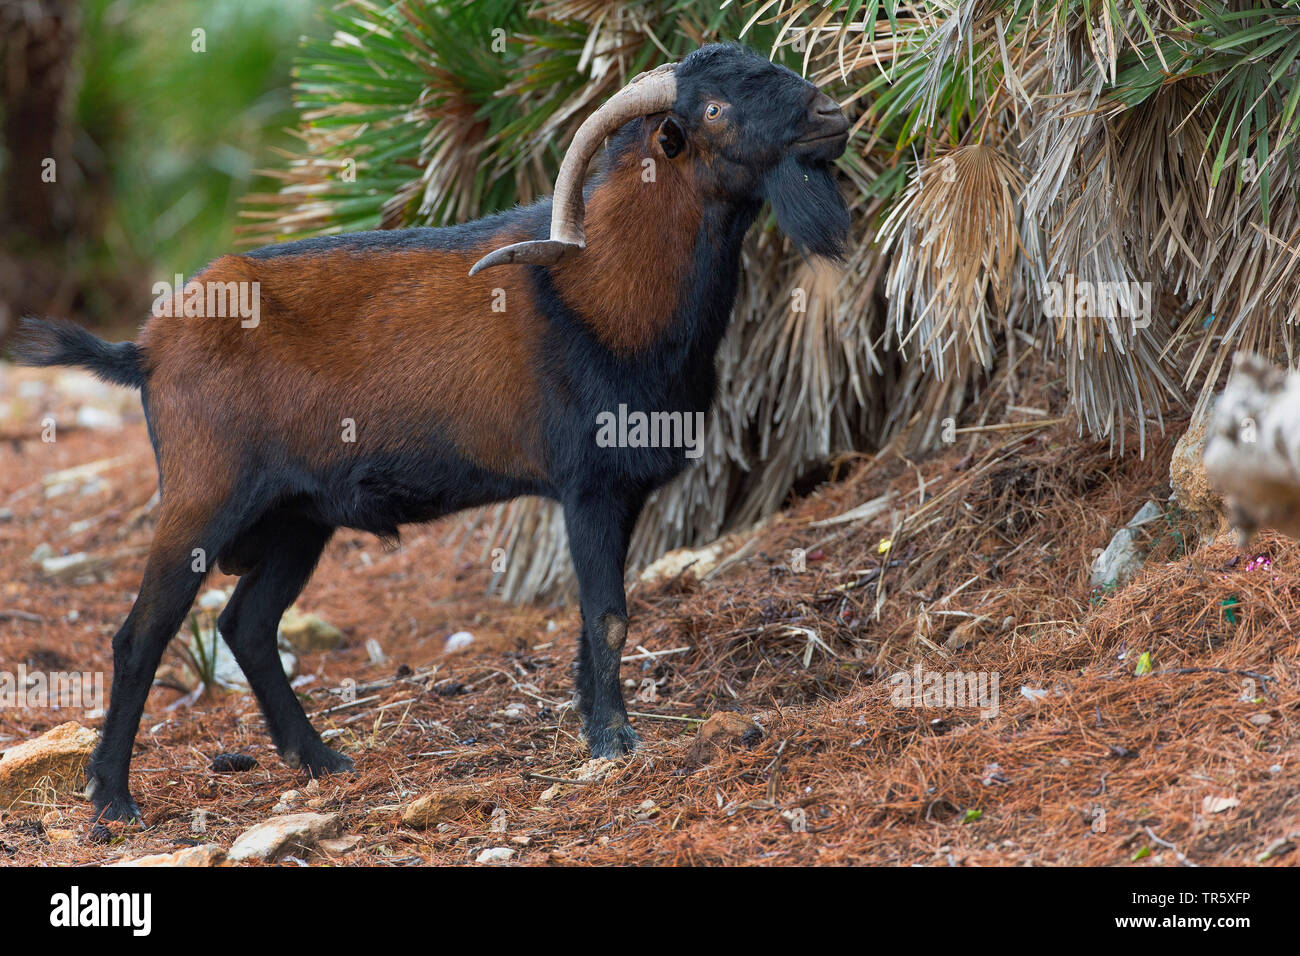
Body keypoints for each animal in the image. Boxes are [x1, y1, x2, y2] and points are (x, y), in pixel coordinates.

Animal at [12, 42, 852, 822]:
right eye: (713, 108)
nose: (830, 114)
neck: (602, 288)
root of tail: (146, 348)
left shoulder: (621, 492)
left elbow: (592, 619)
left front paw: (593, 726)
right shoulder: (587, 487)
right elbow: (608, 616)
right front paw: (615, 740)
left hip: (298, 520)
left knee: (246, 624)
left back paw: (321, 759)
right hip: (203, 499)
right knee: (142, 634)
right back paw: (112, 800)